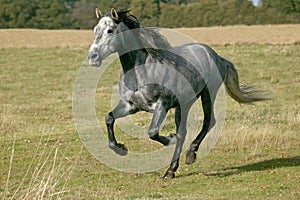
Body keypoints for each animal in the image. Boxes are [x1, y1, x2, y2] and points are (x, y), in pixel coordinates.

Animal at [86, 8, 268, 179]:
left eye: (110, 30)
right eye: (95, 29)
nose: (92, 57)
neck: (142, 72)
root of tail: (216, 56)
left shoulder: (162, 105)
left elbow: (153, 132)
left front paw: (170, 139)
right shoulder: (131, 106)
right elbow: (109, 118)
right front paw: (121, 148)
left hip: (207, 95)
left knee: (208, 122)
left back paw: (188, 156)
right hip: (184, 104)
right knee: (183, 132)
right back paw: (171, 169)